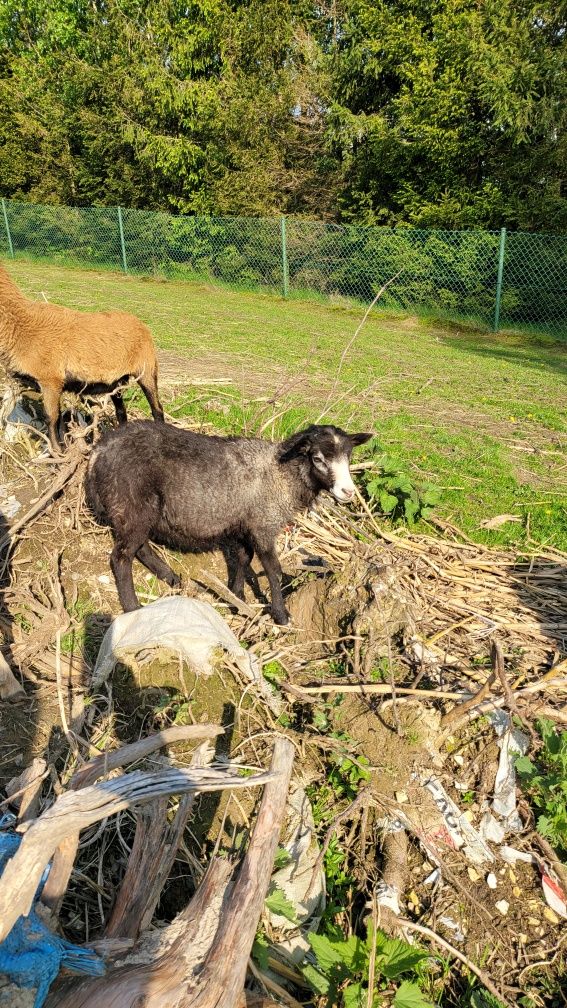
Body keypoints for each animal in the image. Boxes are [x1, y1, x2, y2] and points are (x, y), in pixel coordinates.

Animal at [0, 264, 163, 449]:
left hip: (147, 369)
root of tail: (143, 326)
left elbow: (51, 418)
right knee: (121, 412)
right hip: (117, 382)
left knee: (157, 409)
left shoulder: (51, 380)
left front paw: (57, 451)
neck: (21, 326)